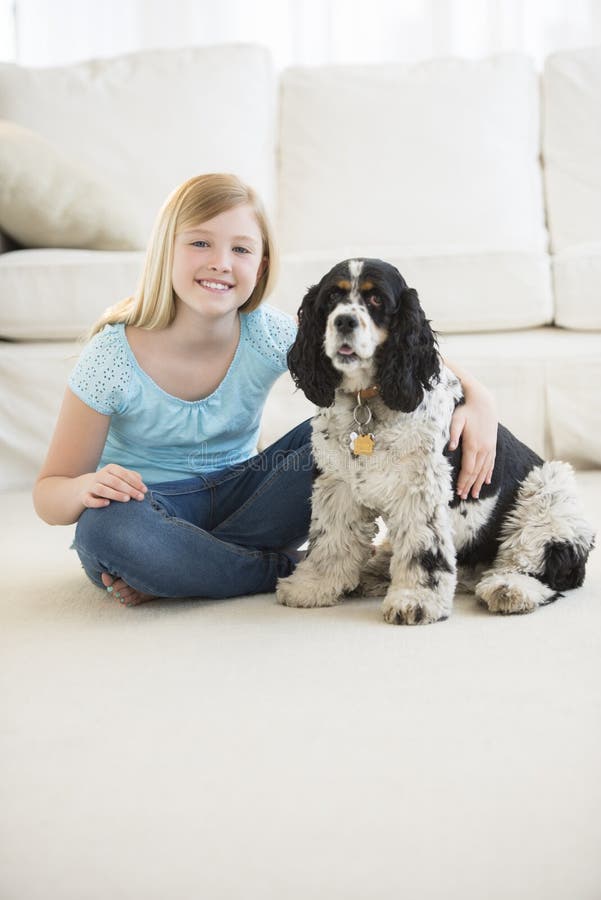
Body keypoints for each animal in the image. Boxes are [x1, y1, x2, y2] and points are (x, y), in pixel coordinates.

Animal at [276, 258, 596, 624]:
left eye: (376, 299)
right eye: (331, 297)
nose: (344, 321)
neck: (369, 400)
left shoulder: (420, 490)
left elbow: (422, 552)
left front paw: (414, 600)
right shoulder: (337, 485)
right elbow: (330, 541)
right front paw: (312, 586)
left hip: (549, 491)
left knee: (546, 566)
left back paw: (509, 588)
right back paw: (374, 572)